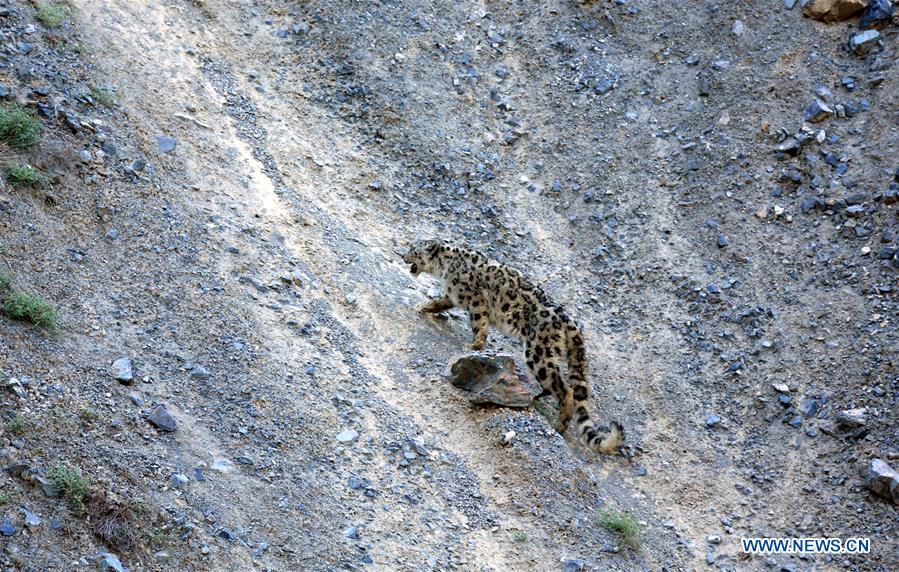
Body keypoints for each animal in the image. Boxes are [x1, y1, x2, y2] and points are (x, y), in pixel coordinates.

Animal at [403, 239, 624, 454]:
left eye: (413, 250)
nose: (403, 257)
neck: (445, 269)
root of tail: (571, 323)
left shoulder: (476, 301)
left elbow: (479, 325)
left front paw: (474, 344)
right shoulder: (451, 296)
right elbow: (438, 302)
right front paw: (423, 307)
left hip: (538, 352)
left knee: (565, 388)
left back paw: (559, 424)